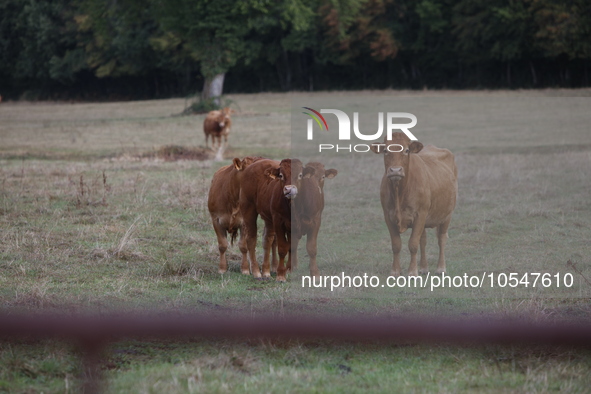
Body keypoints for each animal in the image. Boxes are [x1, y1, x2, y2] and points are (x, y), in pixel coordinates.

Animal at [372, 132, 460, 278]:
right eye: (385, 150)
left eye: (406, 150)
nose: (395, 170)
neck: (400, 192)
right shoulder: (388, 216)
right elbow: (396, 244)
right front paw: (395, 271)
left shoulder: (420, 215)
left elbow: (413, 244)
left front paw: (412, 272)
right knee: (423, 240)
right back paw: (424, 268)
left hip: (447, 214)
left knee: (441, 239)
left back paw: (441, 268)